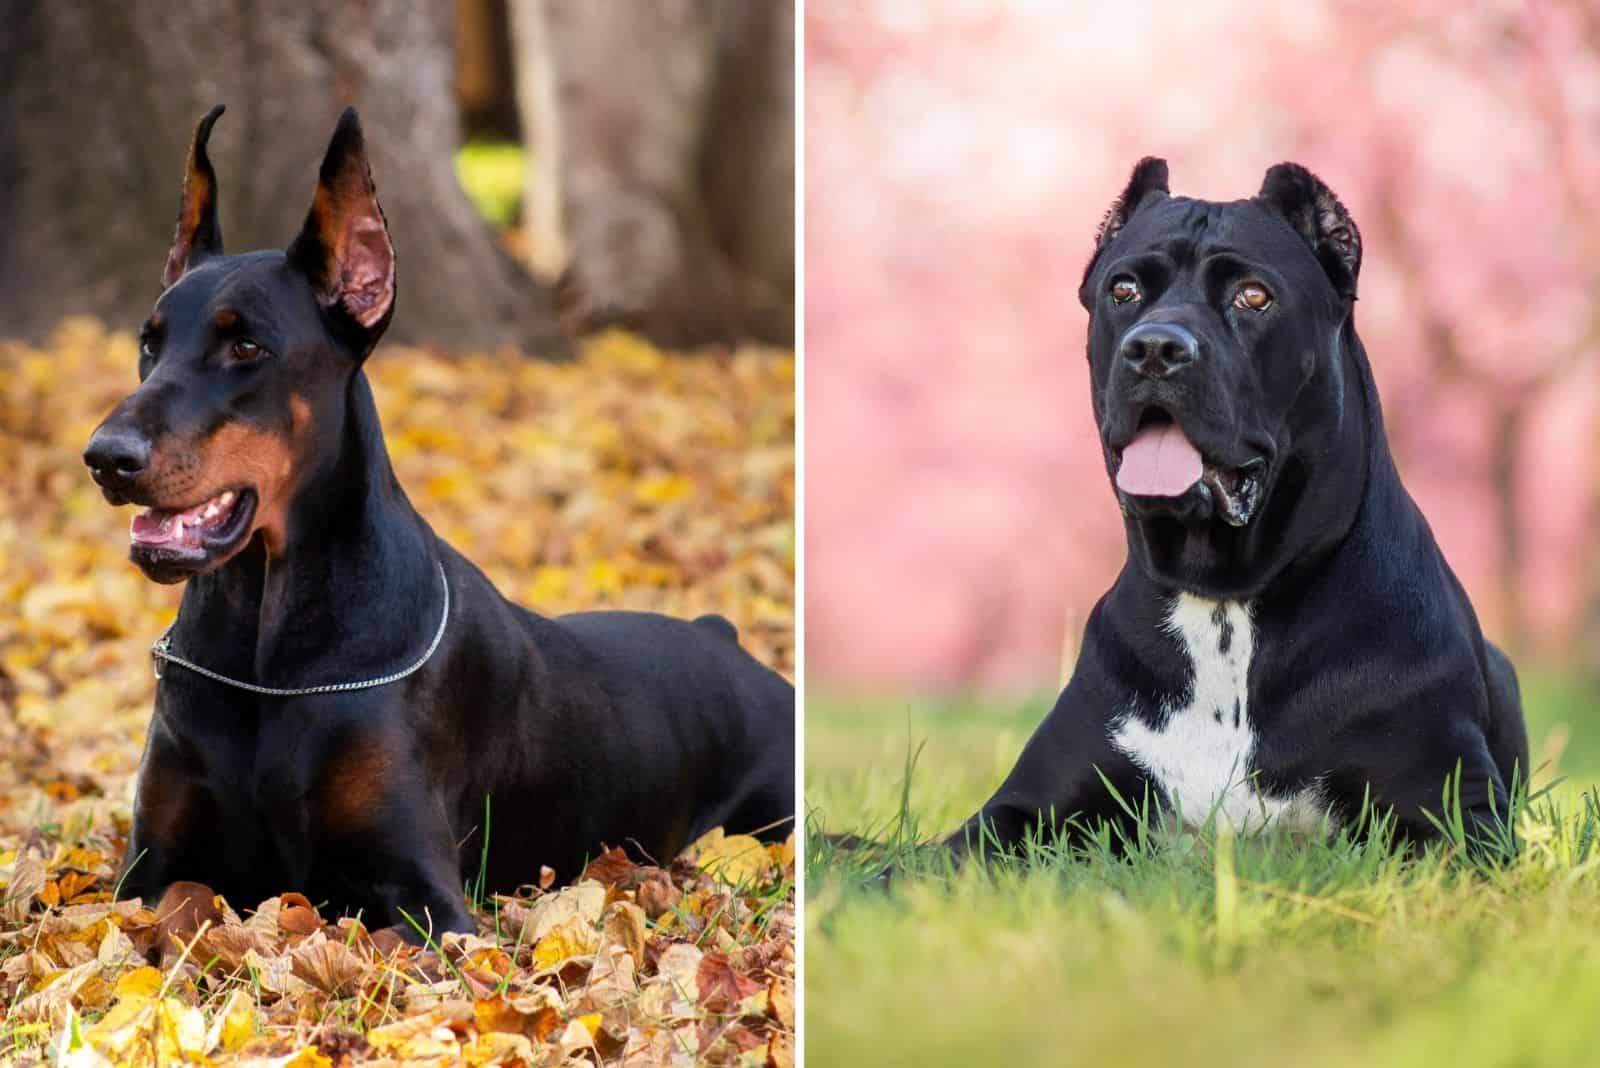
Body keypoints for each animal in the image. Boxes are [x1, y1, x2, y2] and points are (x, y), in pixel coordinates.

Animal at [81, 108, 793, 933]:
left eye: (247, 344)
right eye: (150, 342)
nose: (105, 457)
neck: (270, 652)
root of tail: (724, 636)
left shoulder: (425, 895)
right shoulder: (148, 870)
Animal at [947, 156, 1523, 856]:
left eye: (1254, 297)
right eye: (1123, 290)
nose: (1155, 348)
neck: (1225, 600)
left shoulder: (1457, 815)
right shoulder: (1019, 811)